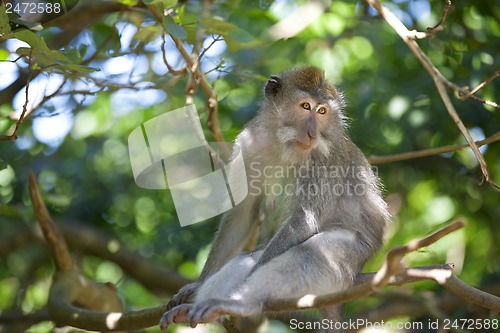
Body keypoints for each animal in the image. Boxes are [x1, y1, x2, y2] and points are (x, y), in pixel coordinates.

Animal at [160, 65, 390, 330]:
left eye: (322, 111)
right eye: (305, 106)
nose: (313, 134)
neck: (284, 144)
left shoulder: (325, 162)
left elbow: (303, 221)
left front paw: (244, 285)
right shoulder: (248, 144)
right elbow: (242, 211)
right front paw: (197, 285)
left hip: (352, 256)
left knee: (310, 254)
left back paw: (237, 303)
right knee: (247, 257)